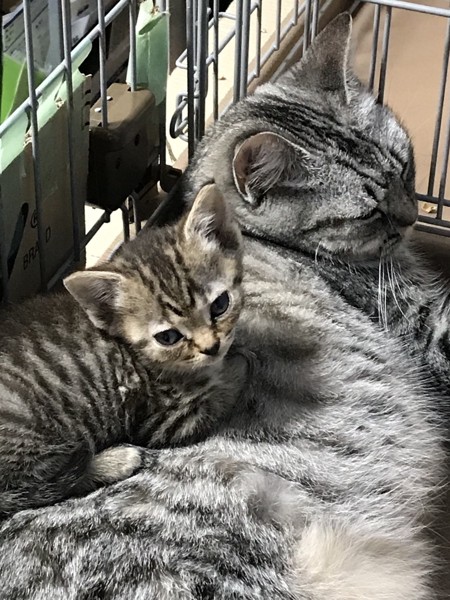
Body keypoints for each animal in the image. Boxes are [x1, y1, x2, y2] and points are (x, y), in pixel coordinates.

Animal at [0, 185, 248, 516]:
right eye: (168, 337)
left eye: (220, 305)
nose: (212, 347)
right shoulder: (162, 420)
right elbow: (222, 393)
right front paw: (239, 364)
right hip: (30, 436)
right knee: (46, 486)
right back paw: (116, 461)